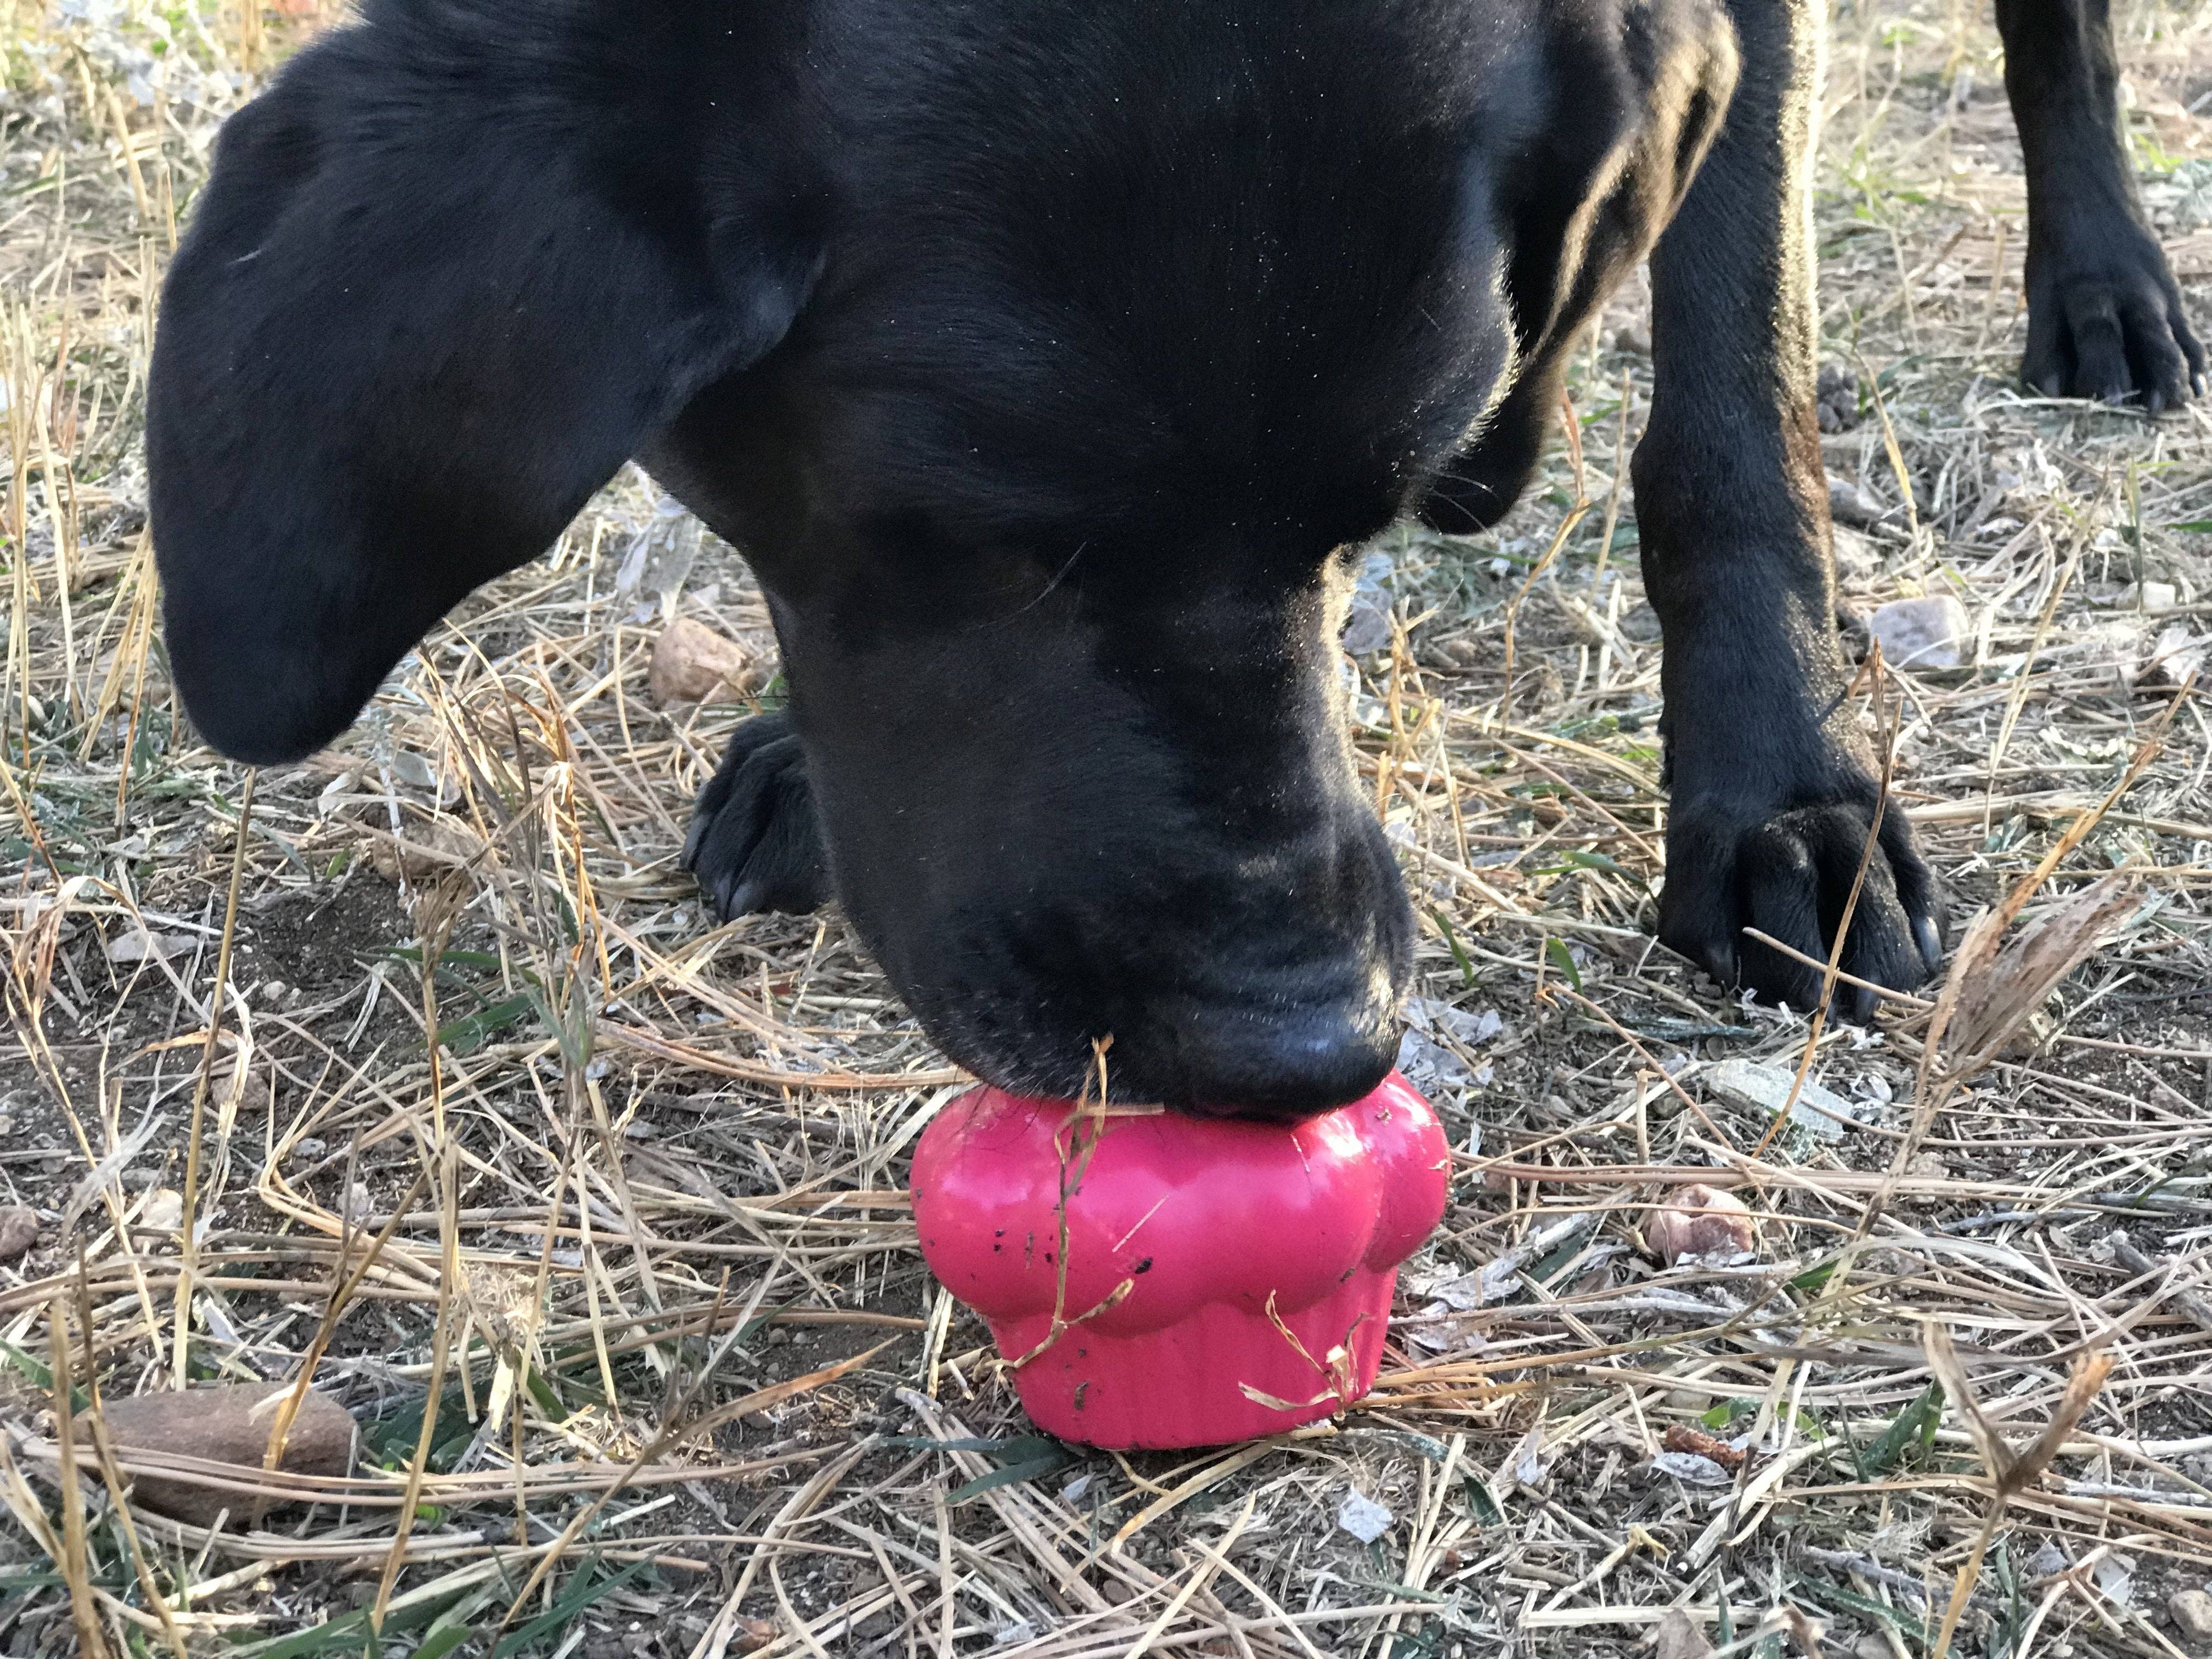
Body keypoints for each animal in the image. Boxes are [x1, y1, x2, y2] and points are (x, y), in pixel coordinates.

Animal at [151, 0, 2194, 1124]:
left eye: (1387, 494)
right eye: (936, 531)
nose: (1309, 1045)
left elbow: (1732, 389)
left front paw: (1786, 792)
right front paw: (795, 753)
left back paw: (2104, 281)